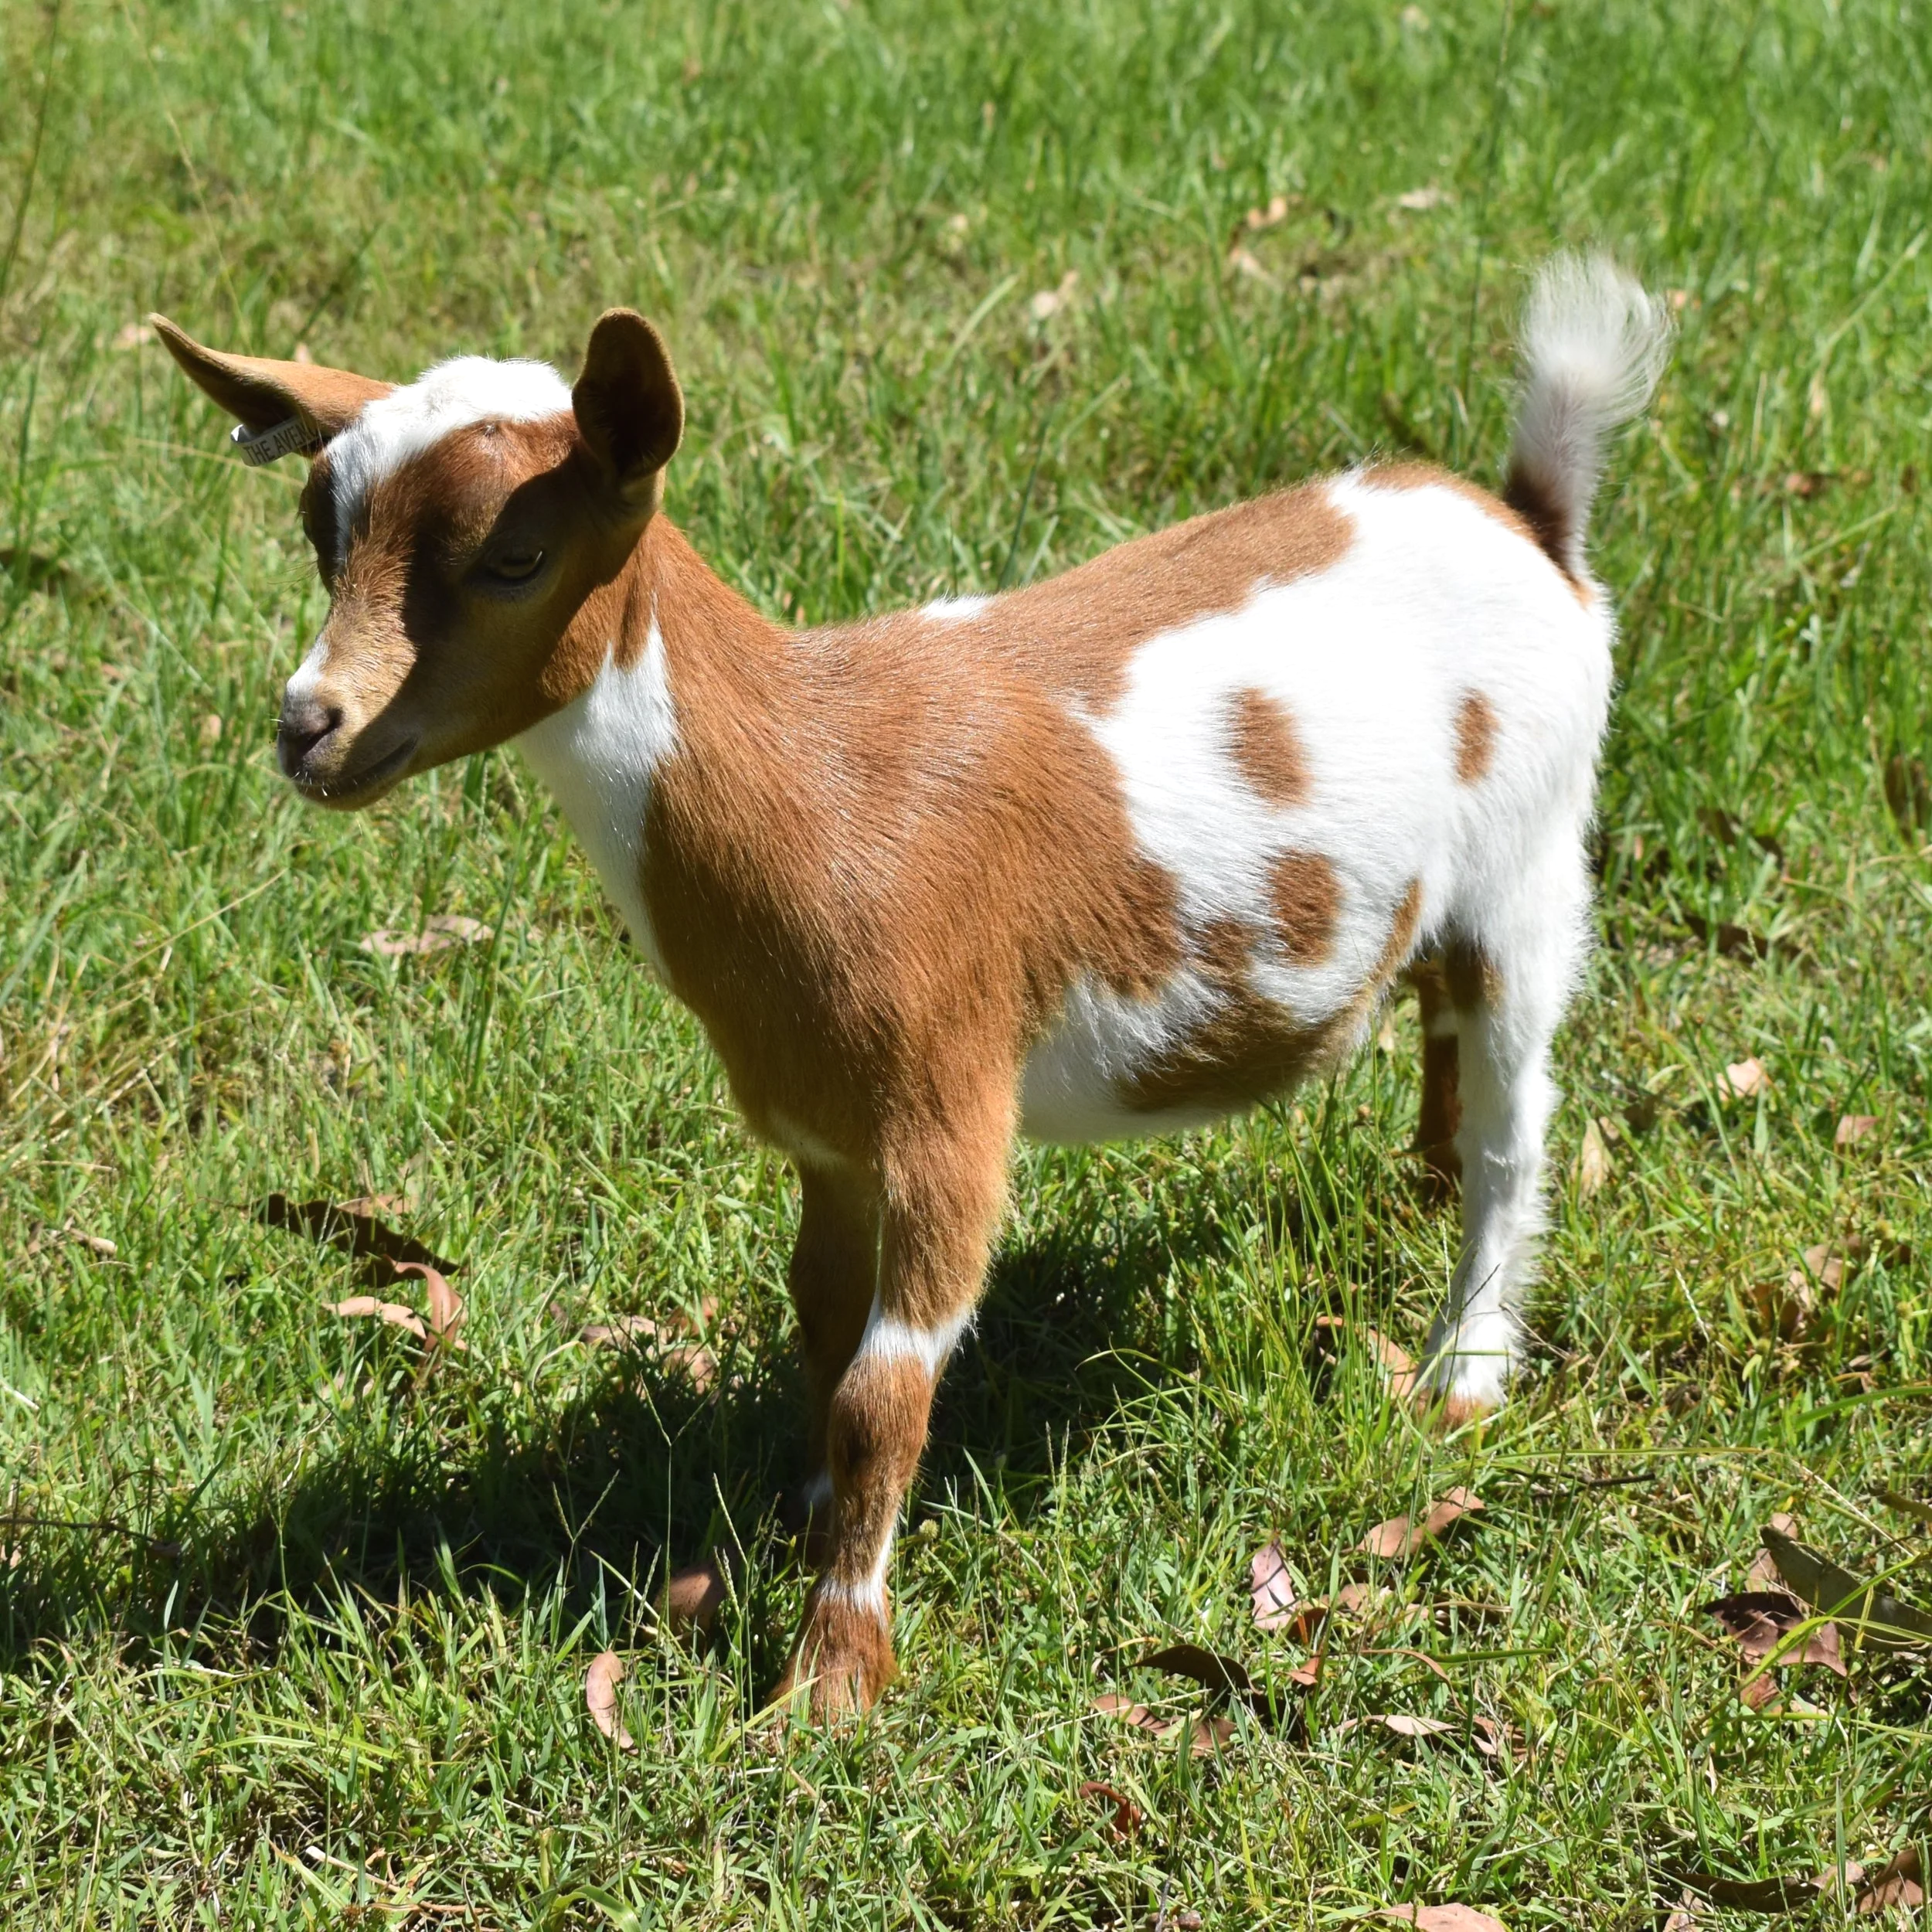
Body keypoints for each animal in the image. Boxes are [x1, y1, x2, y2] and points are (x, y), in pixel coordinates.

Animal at [152, 255, 1668, 1716]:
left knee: (1518, 1119)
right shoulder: (825, 1122)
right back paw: (1417, 1184)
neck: (822, 785)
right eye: (322, 533)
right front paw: (805, 1512)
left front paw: (827, 1685)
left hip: (1536, 849)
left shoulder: (951, 1100)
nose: (310, 731)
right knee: (1445, 1025)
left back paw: (1465, 1373)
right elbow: (821, 1313)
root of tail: (1529, 525)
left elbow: (886, 1387)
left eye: (518, 555)